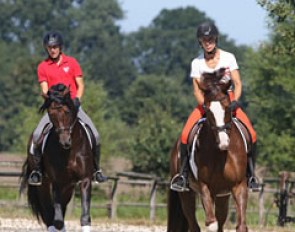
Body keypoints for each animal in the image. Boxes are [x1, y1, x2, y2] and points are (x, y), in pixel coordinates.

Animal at [20, 84, 95, 232]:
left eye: (67, 111)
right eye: (51, 114)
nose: (65, 142)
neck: (69, 151)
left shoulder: (85, 180)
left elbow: (85, 217)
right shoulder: (57, 182)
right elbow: (57, 220)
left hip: (68, 186)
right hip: (44, 185)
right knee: (49, 214)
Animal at [169, 69, 250, 232]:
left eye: (228, 107)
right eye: (207, 109)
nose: (224, 142)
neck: (221, 155)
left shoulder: (238, 185)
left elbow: (240, 225)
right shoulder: (205, 187)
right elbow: (211, 224)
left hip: (222, 195)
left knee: (221, 218)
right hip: (187, 194)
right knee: (194, 224)